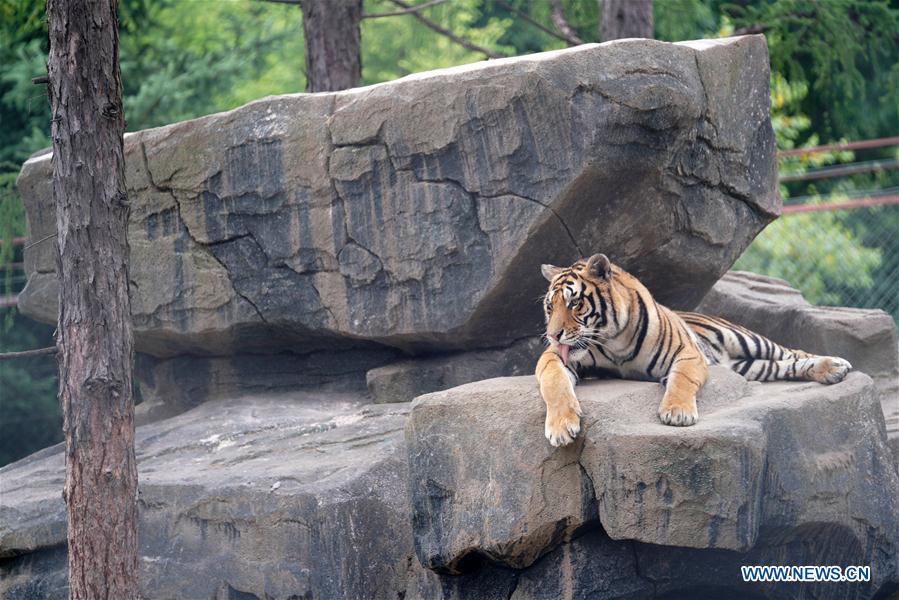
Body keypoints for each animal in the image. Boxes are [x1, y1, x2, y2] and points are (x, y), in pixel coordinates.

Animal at [536, 253, 853, 446]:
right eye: (550, 306)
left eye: (575, 303)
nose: (553, 335)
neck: (613, 342)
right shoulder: (553, 358)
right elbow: (554, 381)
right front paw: (562, 427)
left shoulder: (688, 353)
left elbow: (681, 380)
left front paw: (677, 413)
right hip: (748, 367)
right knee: (783, 367)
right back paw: (832, 372)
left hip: (747, 339)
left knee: (794, 352)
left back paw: (836, 366)